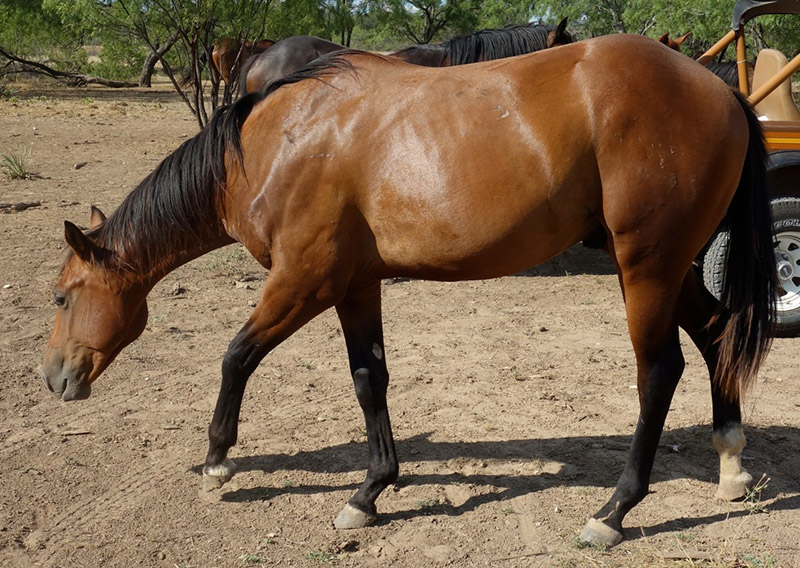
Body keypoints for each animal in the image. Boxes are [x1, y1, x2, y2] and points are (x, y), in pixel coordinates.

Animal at [42, 34, 776, 544]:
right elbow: (370, 380)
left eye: (61, 296)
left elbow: (236, 356)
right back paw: (731, 464)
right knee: (716, 335)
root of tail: (720, 93)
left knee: (659, 371)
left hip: (645, 266)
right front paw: (370, 491)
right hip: (663, 266)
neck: (275, 144)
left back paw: (615, 511)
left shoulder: (302, 282)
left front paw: (218, 462)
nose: (54, 378)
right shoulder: (354, 285)